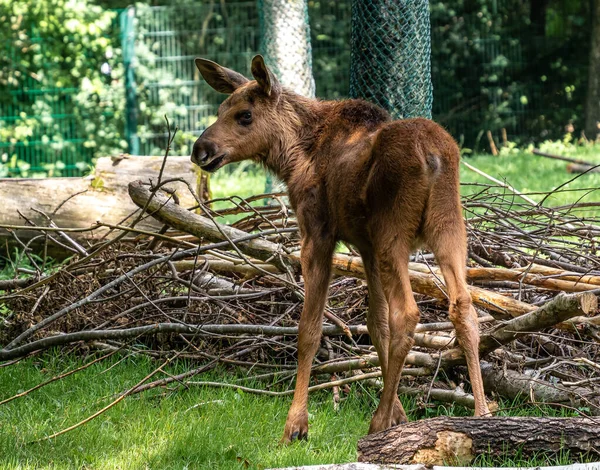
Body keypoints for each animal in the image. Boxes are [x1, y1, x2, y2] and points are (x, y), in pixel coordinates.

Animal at [190, 56, 490, 444]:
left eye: (244, 115)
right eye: (220, 109)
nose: (200, 149)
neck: (292, 156)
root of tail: (433, 155)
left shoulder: (318, 233)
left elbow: (310, 330)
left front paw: (296, 425)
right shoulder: (365, 244)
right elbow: (376, 324)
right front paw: (400, 415)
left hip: (394, 233)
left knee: (408, 313)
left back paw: (376, 422)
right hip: (449, 227)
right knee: (463, 306)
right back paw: (482, 415)